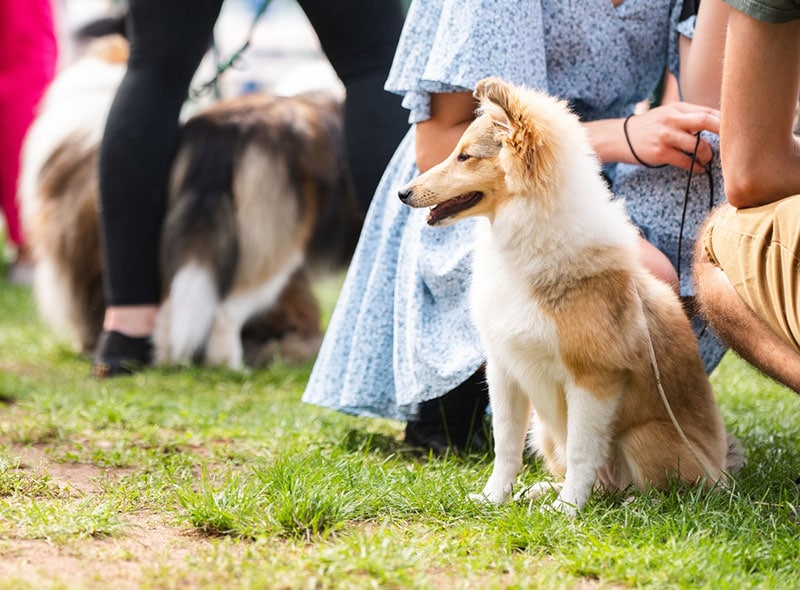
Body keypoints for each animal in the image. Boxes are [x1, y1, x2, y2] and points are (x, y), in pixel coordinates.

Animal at [400, 77, 744, 512]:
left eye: (466, 156)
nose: (403, 193)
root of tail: (720, 470)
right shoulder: (505, 368)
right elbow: (505, 447)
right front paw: (494, 499)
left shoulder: (594, 378)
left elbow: (583, 450)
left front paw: (567, 511)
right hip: (543, 429)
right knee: (598, 482)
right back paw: (539, 492)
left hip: (644, 436)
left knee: (652, 488)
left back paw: (626, 505)